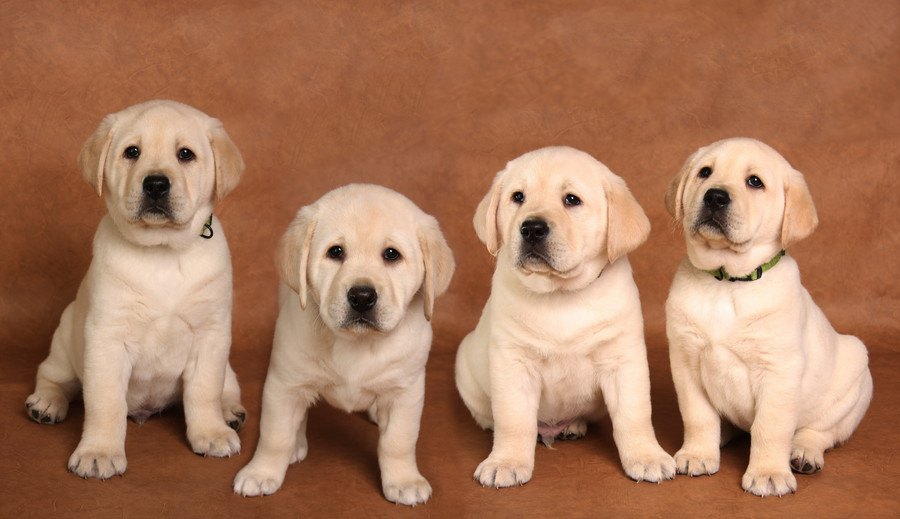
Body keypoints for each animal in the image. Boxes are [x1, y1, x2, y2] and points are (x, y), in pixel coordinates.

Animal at [26, 100, 248, 480]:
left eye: (185, 154)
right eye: (132, 152)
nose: (156, 184)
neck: (162, 251)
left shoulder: (211, 333)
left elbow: (204, 390)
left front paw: (211, 432)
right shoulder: (107, 337)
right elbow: (105, 401)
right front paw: (99, 452)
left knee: (227, 384)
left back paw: (230, 413)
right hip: (65, 341)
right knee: (54, 377)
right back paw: (46, 403)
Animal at [234, 185, 454, 506]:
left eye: (392, 255)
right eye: (335, 252)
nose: (362, 297)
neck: (357, 343)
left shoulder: (406, 392)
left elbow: (398, 441)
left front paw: (404, 480)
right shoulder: (284, 383)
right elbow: (275, 435)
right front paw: (261, 472)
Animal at [458, 145, 676, 488]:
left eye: (572, 200)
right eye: (518, 197)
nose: (531, 228)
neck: (561, 294)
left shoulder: (623, 360)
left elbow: (634, 414)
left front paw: (646, 456)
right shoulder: (512, 362)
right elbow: (513, 419)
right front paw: (506, 461)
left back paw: (573, 425)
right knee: (491, 415)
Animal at [668, 136, 872, 498]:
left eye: (754, 182)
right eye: (705, 172)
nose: (715, 196)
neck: (728, 282)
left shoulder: (779, 371)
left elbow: (770, 427)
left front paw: (768, 473)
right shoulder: (686, 362)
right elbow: (698, 416)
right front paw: (697, 453)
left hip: (856, 379)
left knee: (821, 432)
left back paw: (804, 453)